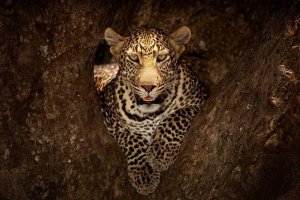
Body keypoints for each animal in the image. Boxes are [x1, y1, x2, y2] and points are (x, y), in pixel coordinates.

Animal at [97, 25, 207, 195]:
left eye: (161, 58)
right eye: (134, 58)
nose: (148, 87)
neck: (150, 114)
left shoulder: (199, 99)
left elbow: (175, 117)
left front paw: (161, 153)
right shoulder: (110, 119)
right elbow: (131, 139)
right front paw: (144, 174)